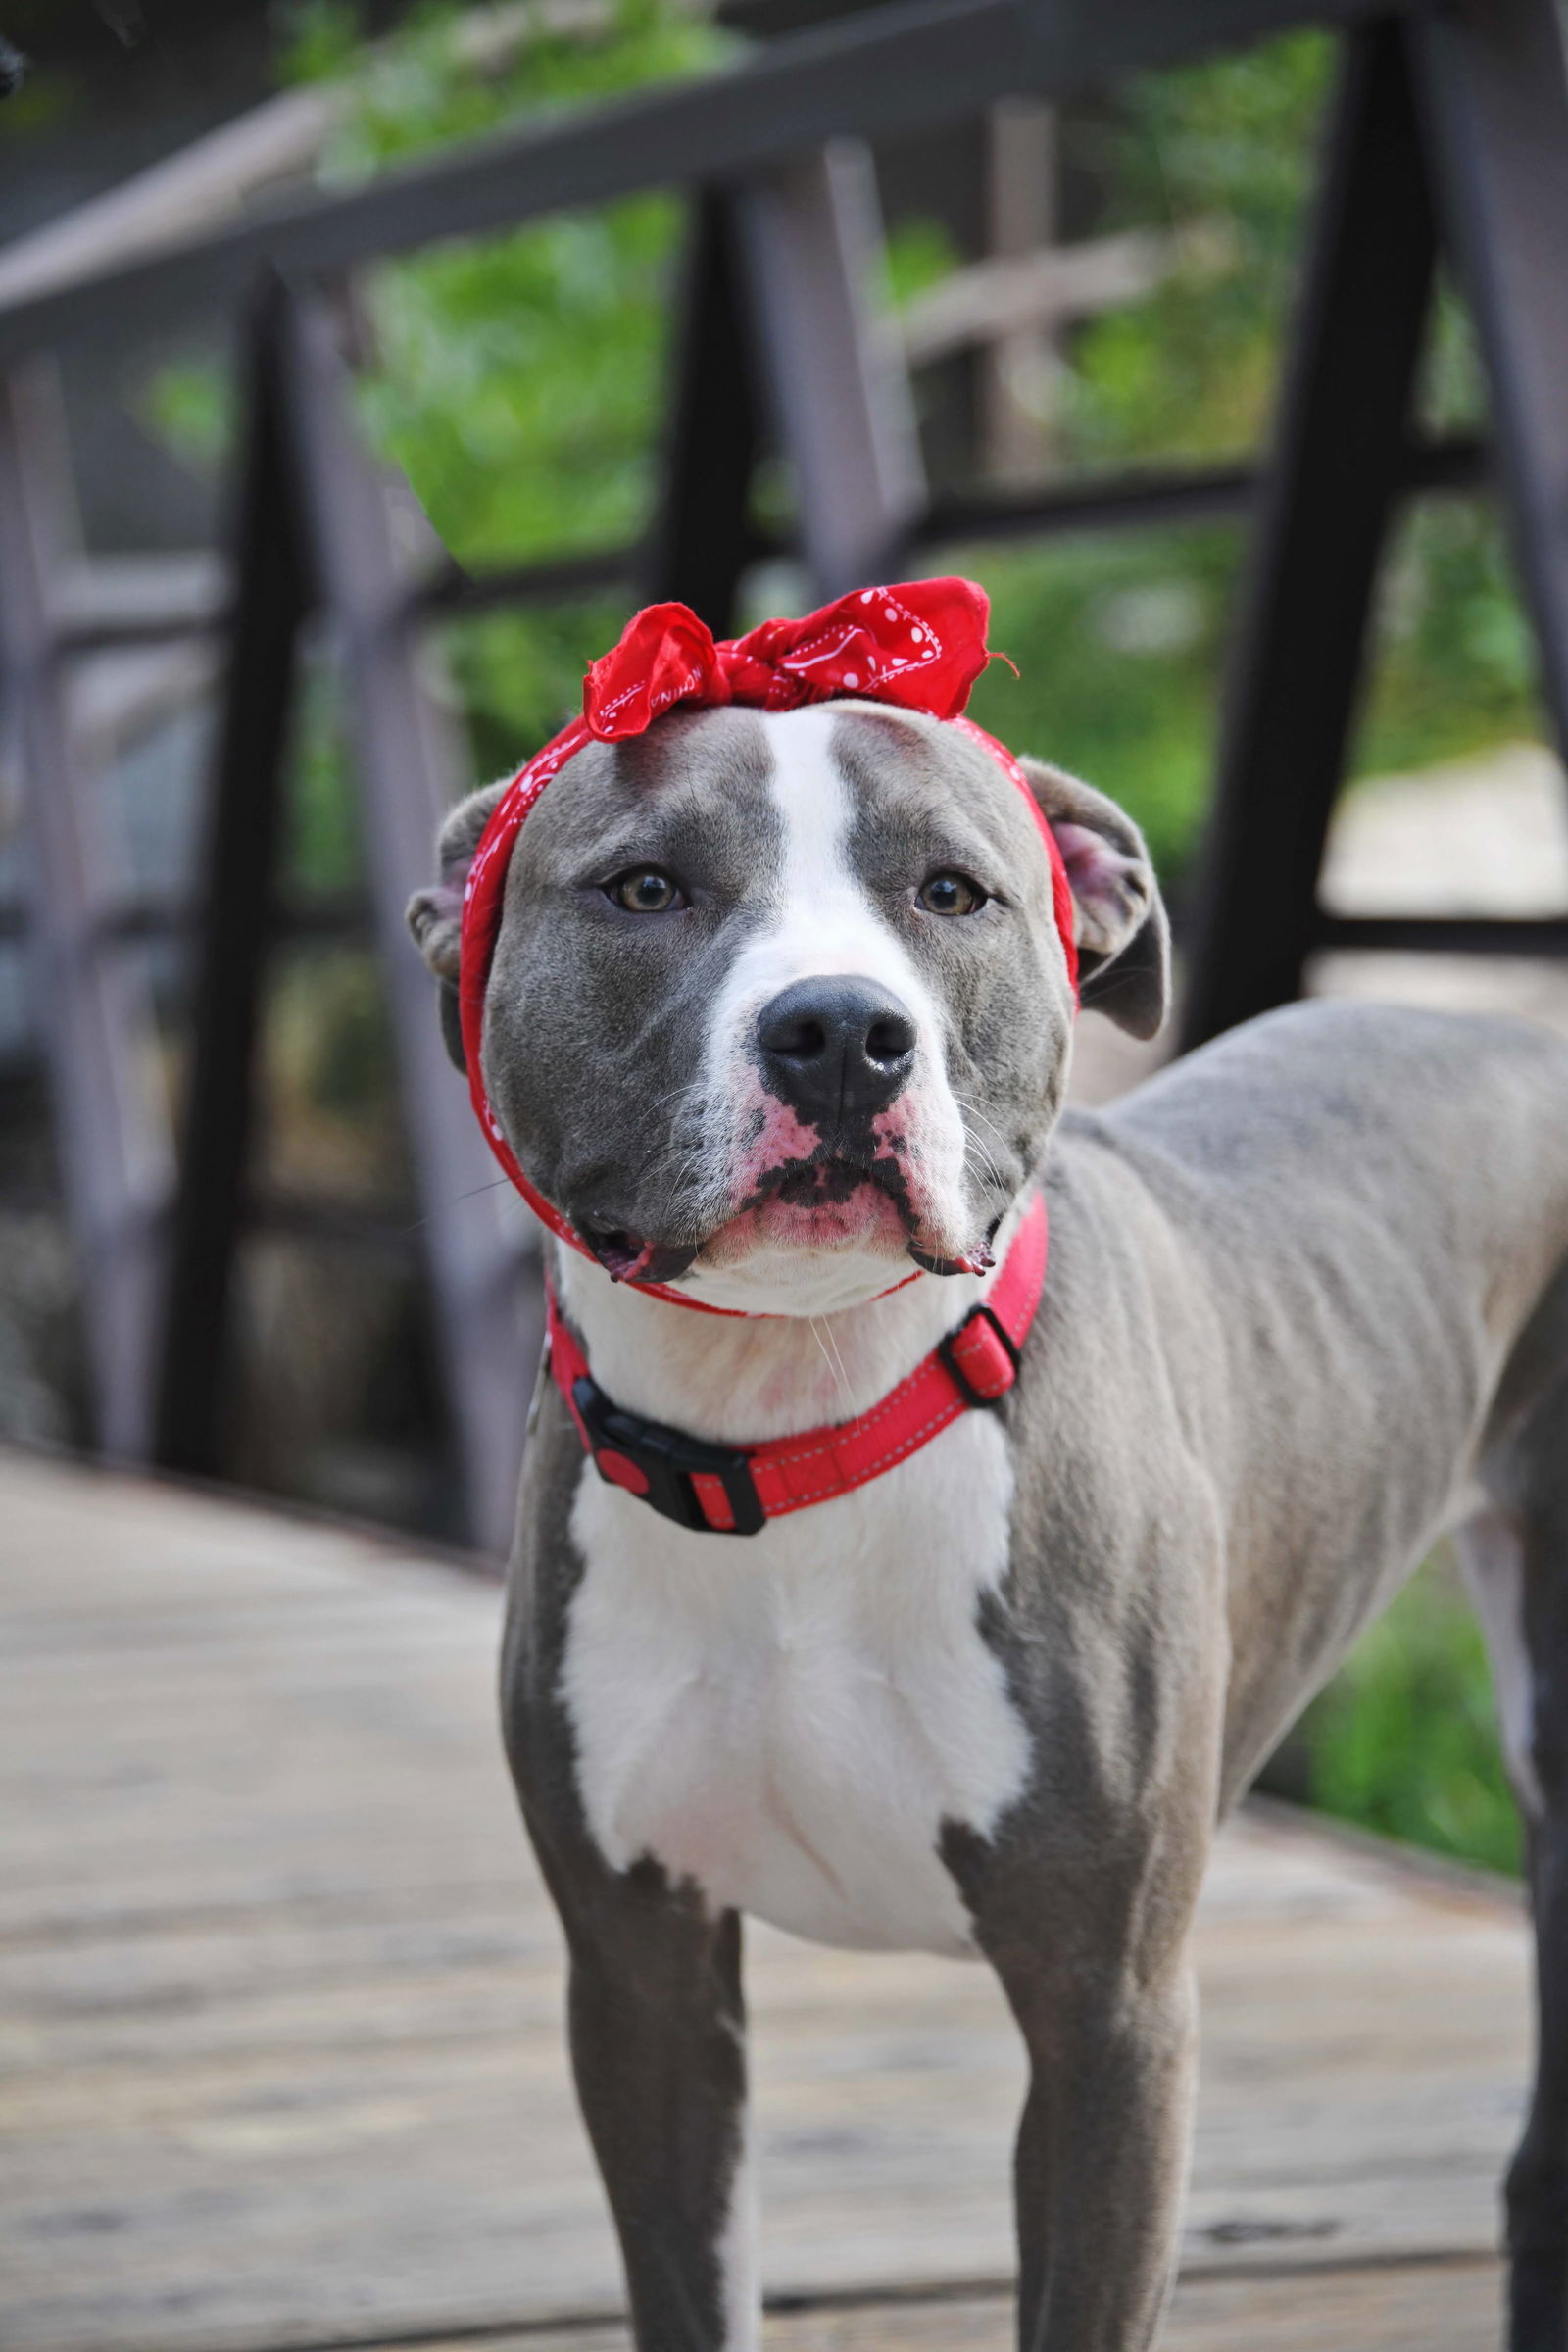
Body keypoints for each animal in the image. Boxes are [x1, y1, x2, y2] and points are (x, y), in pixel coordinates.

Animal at [411, 583, 1568, 2352]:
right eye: (647, 887)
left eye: (951, 892)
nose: (840, 1031)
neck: (798, 1426)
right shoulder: (642, 1982)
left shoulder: (1112, 2021)